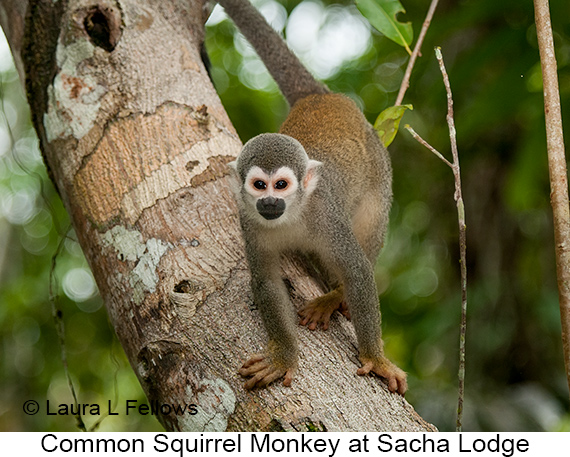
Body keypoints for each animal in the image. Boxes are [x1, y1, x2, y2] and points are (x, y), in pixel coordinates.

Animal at [215, 0, 406, 394]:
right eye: (260, 186)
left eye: (281, 185)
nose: (270, 203)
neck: (292, 215)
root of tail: (318, 97)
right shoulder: (248, 221)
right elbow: (268, 283)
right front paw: (283, 356)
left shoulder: (324, 212)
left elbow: (358, 270)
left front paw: (376, 358)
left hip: (378, 164)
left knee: (371, 222)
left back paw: (335, 296)